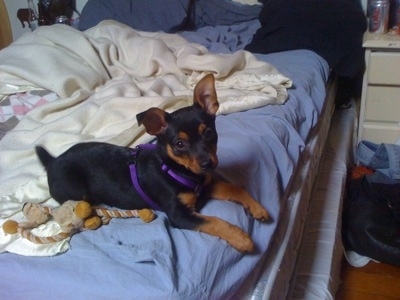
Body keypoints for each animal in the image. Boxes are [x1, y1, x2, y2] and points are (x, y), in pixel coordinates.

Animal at [36, 74, 270, 252]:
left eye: (209, 133)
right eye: (179, 144)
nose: (207, 164)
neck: (177, 169)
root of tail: (53, 161)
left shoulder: (205, 186)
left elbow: (235, 188)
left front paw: (257, 208)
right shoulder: (179, 215)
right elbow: (215, 221)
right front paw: (242, 239)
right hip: (76, 190)